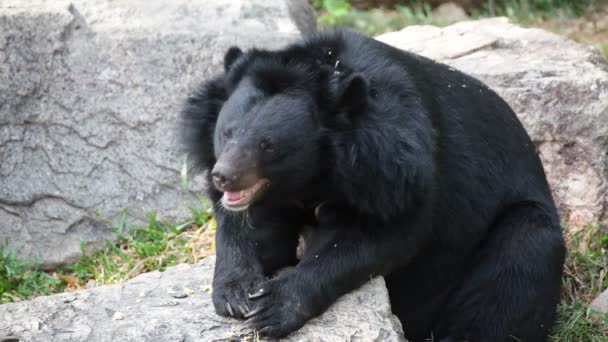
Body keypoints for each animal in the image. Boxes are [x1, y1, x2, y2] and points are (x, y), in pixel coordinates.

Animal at [179, 30, 564, 340]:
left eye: (268, 146)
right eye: (226, 134)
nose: (223, 176)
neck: (314, 176)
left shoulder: (396, 171)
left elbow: (375, 240)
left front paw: (273, 307)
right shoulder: (271, 196)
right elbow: (253, 229)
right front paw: (236, 294)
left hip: (522, 231)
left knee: (518, 263)